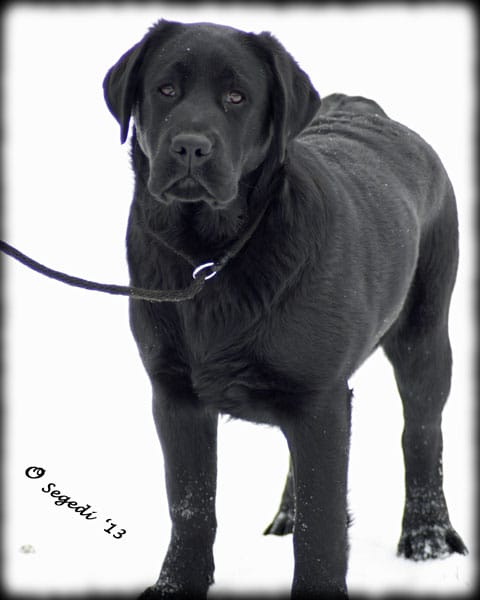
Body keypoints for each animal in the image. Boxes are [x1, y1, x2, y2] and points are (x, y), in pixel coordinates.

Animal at [103, 19, 467, 598]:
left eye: (236, 97)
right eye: (166, 90)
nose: (190, 147)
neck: (214, 258)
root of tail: (365, 109)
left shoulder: (320, 398)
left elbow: (324, 524)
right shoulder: (175, 395)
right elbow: (190, 507)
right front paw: (175, 586)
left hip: (424, 335)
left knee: (422, 434)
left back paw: (427, 534)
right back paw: (286, 517)